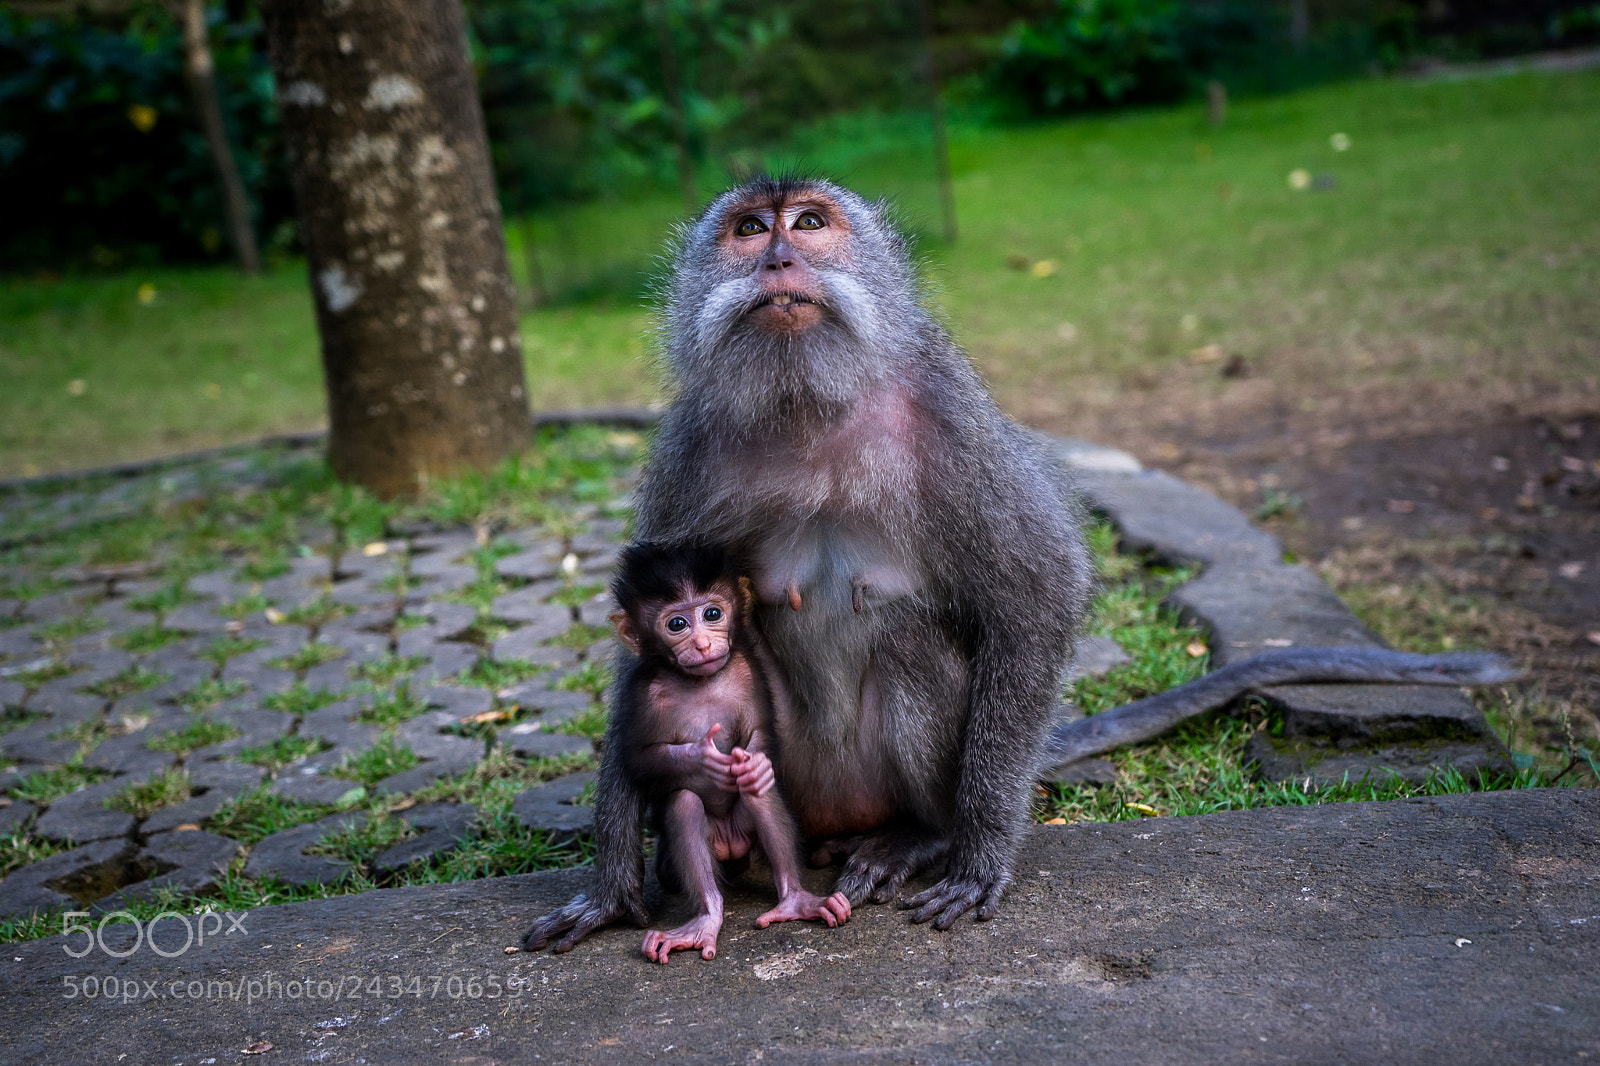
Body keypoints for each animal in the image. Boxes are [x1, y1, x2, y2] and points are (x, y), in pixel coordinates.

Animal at [605, 542, 851, 964]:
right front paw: (702, 758)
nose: (702, 644)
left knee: (759, 793)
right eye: (676, 624)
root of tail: (730, 842)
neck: (700, 681)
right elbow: (638, 758)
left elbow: (762, 733)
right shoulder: (641, 692)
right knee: (684, 804)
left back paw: (796, 900)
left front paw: (754, 764)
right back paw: (706, 917)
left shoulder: (746, 671)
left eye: (712, 614)